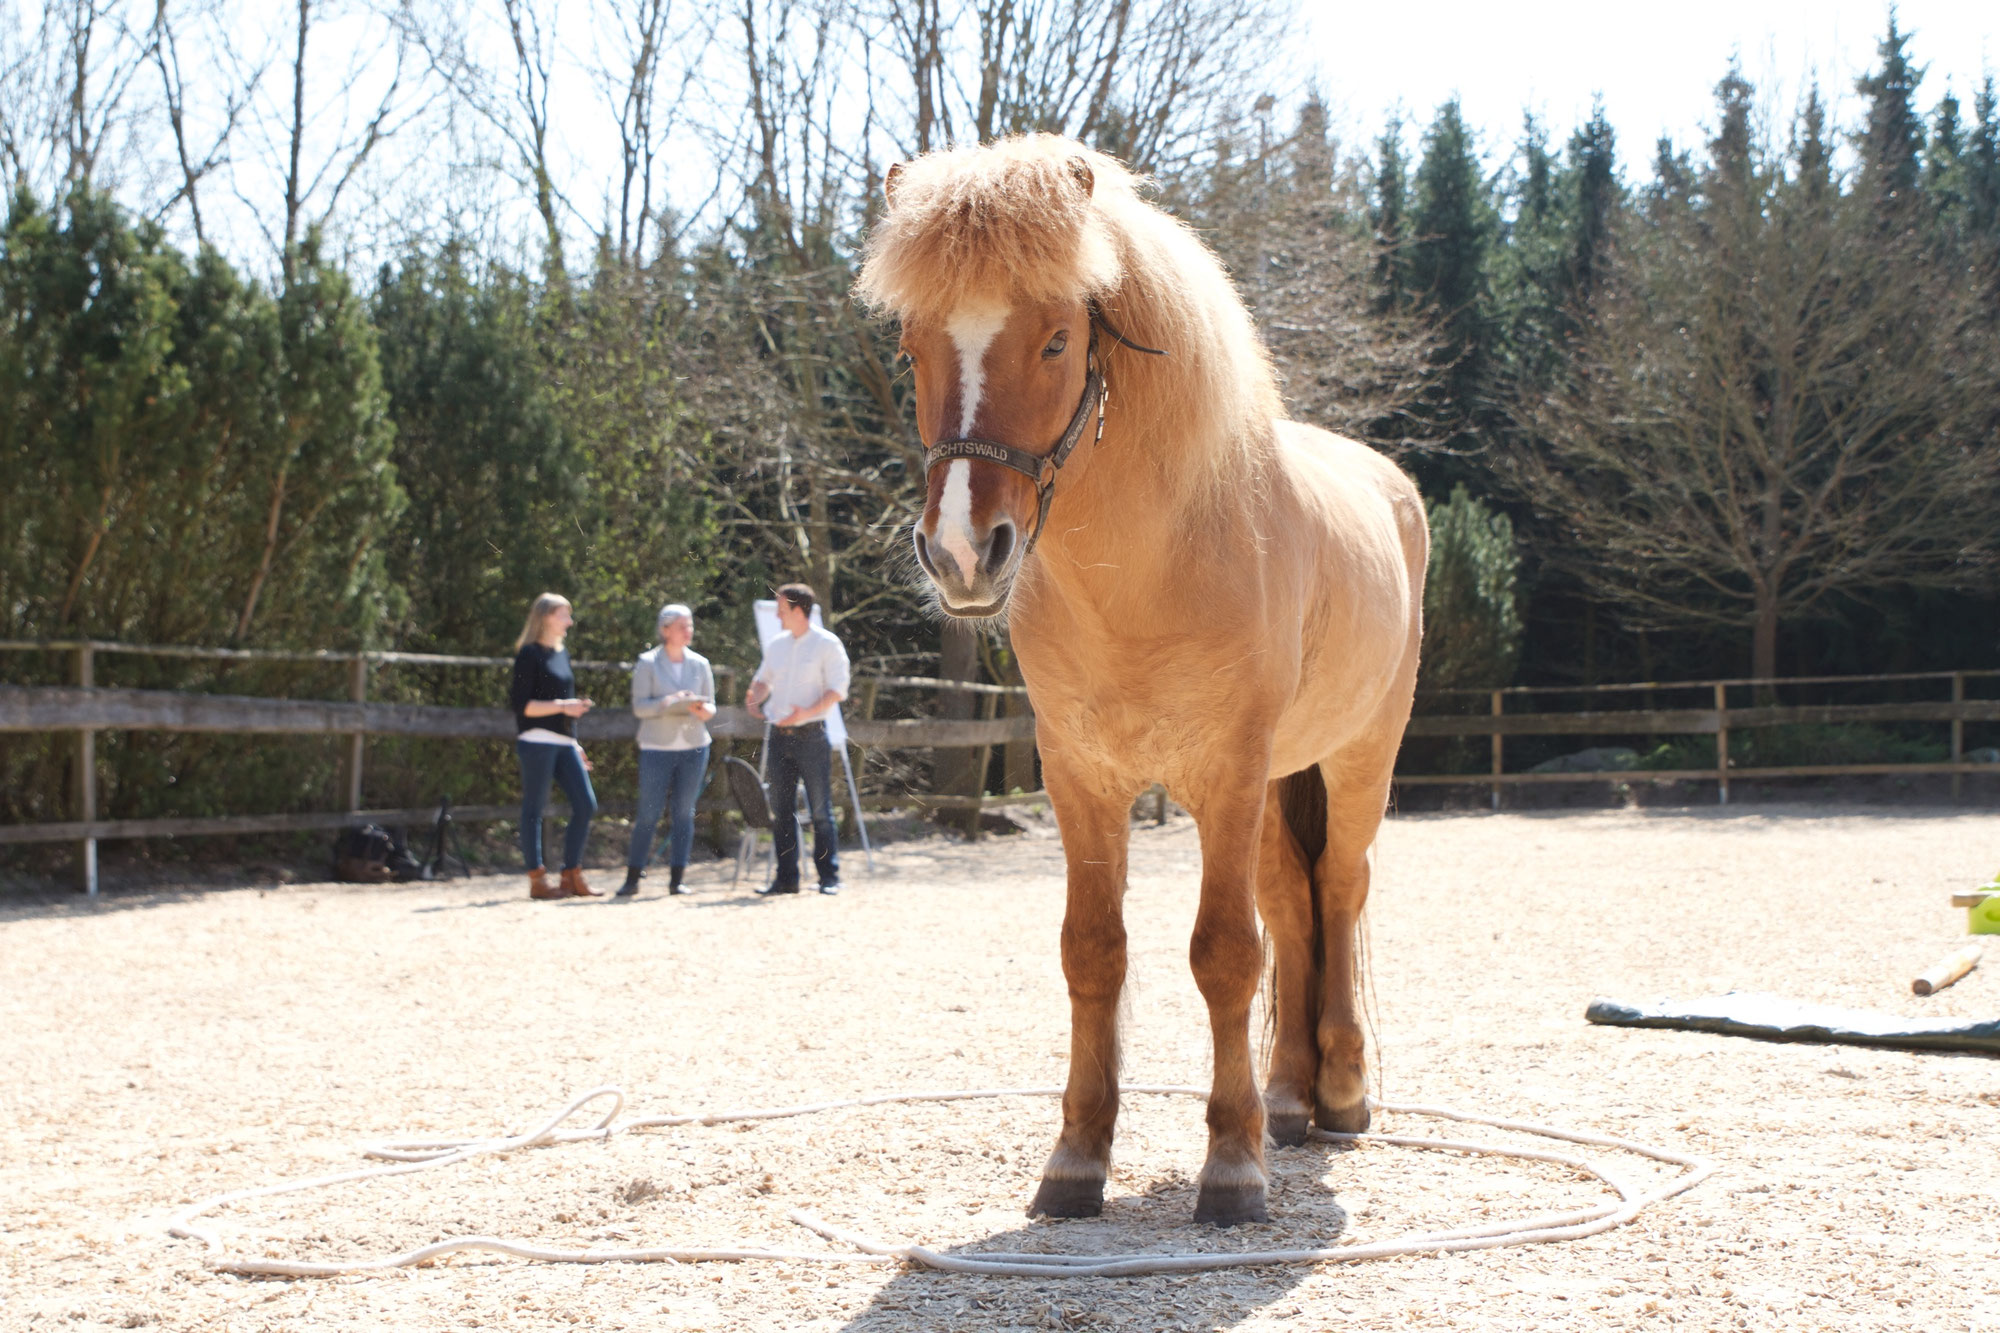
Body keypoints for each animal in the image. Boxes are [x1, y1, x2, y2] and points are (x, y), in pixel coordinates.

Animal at [857, 134, 1427, 1226]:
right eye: (910, 348)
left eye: (1054, 341)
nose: (961, 553)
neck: (1149, 567)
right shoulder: (1082, 777)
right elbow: (1094, 950)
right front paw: (1076, 1159)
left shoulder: (1227, 772)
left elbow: (1224, 952)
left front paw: (1233, 1168)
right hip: (1274, 784)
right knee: (1294, 900)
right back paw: (1288, 1096)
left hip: (1356, 757)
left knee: (1337, 887)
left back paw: (1338, 1093)